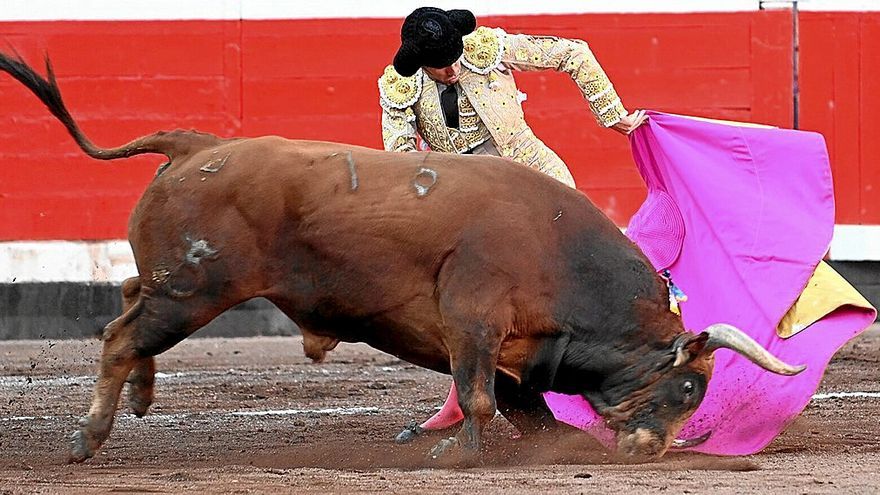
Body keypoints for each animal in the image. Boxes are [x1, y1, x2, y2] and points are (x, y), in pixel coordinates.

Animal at [0, 54, 804, 464]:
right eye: (688, 389)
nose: (652, 449)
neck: (558, 253)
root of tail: (199, 144)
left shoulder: (511, 348)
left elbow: (520, 404)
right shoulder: (474, 318)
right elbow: (482, 395)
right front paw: (466, 457)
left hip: (176, 284)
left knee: (128, 297)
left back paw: (138, 400)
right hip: (193, 291)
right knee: (119, 335)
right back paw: (88, 437)